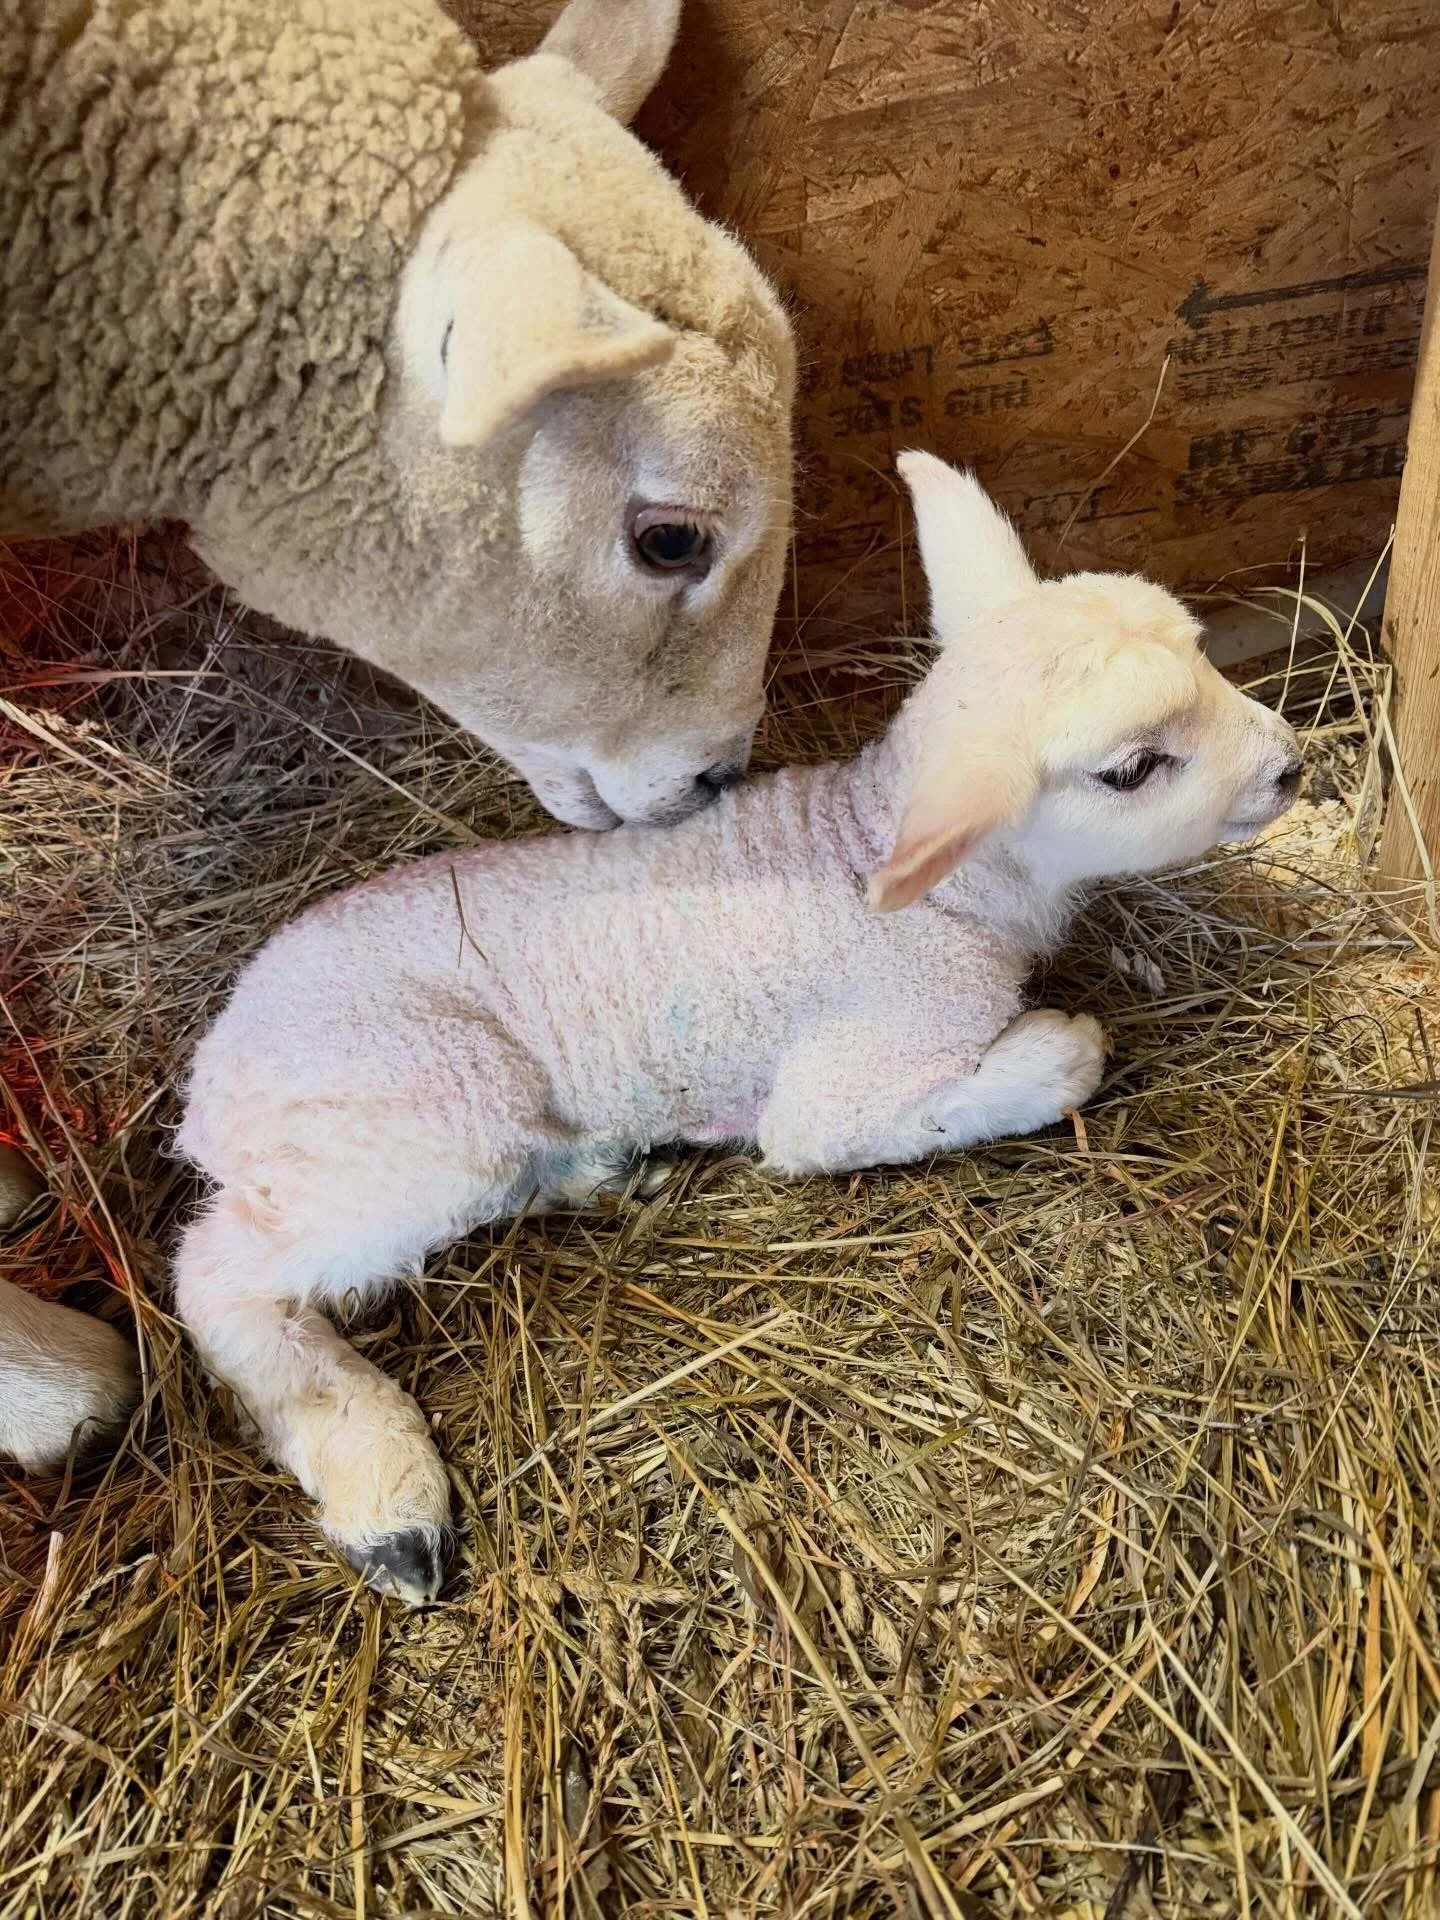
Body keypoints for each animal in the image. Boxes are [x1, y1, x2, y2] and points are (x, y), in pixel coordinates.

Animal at [169, 455, 1304, 1603]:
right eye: (1133, 768)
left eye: (1201, 652)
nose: (1292, 764)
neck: (926, 878)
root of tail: (211, 1079)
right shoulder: (852, 1068)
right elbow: (890, 1113)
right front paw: (1059, 1050)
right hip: (413, 1114)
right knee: (220, 1277)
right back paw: (385, 1498)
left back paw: (602, 1172)